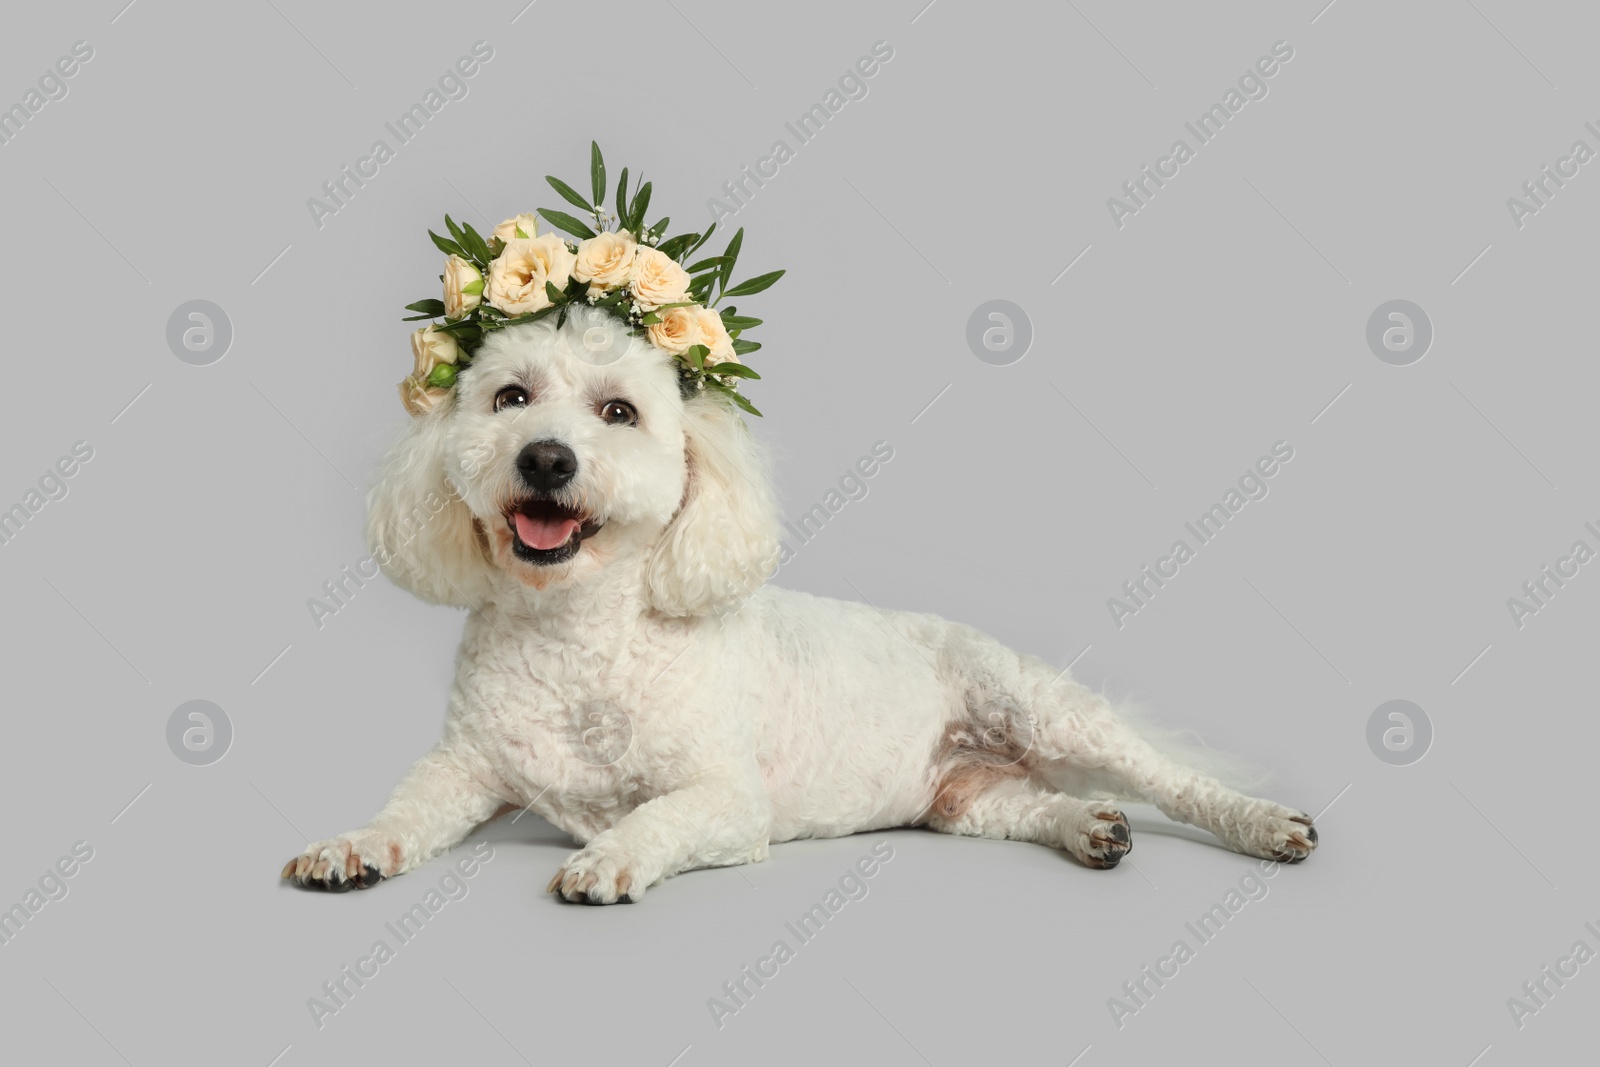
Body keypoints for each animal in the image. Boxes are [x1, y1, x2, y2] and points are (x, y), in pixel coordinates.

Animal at [281, 308, 1318, 902]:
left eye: (619, 412)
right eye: (509, 397)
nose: (545, 457)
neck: (579, 625)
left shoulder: (728, 799)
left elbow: (655, 818)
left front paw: (609, 857)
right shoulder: (464, 768)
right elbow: (406, 807)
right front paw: (352, 843)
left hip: (1041, 707)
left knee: (1171, 781)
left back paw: (1261, 822)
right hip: (963, 798)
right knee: (1031, 805)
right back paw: (1087, 828)